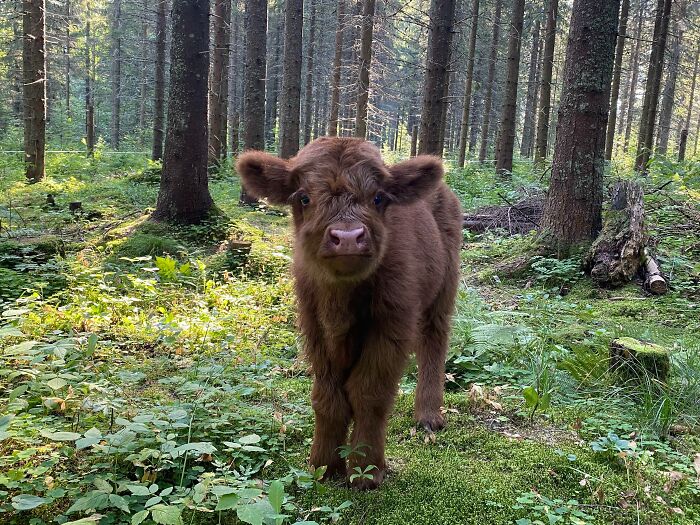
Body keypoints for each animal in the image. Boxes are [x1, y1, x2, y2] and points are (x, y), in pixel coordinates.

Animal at [236, 137, 462, 489]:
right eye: (304, 197)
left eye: (378, 197)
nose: (347, 238)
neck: (339, 304)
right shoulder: (315, 327)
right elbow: (327, 397)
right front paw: (323, 465)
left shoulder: (392, 325)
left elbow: (369, 392)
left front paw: (366, 470)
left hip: (443, 291)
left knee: (434, 344)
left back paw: (428, 416)